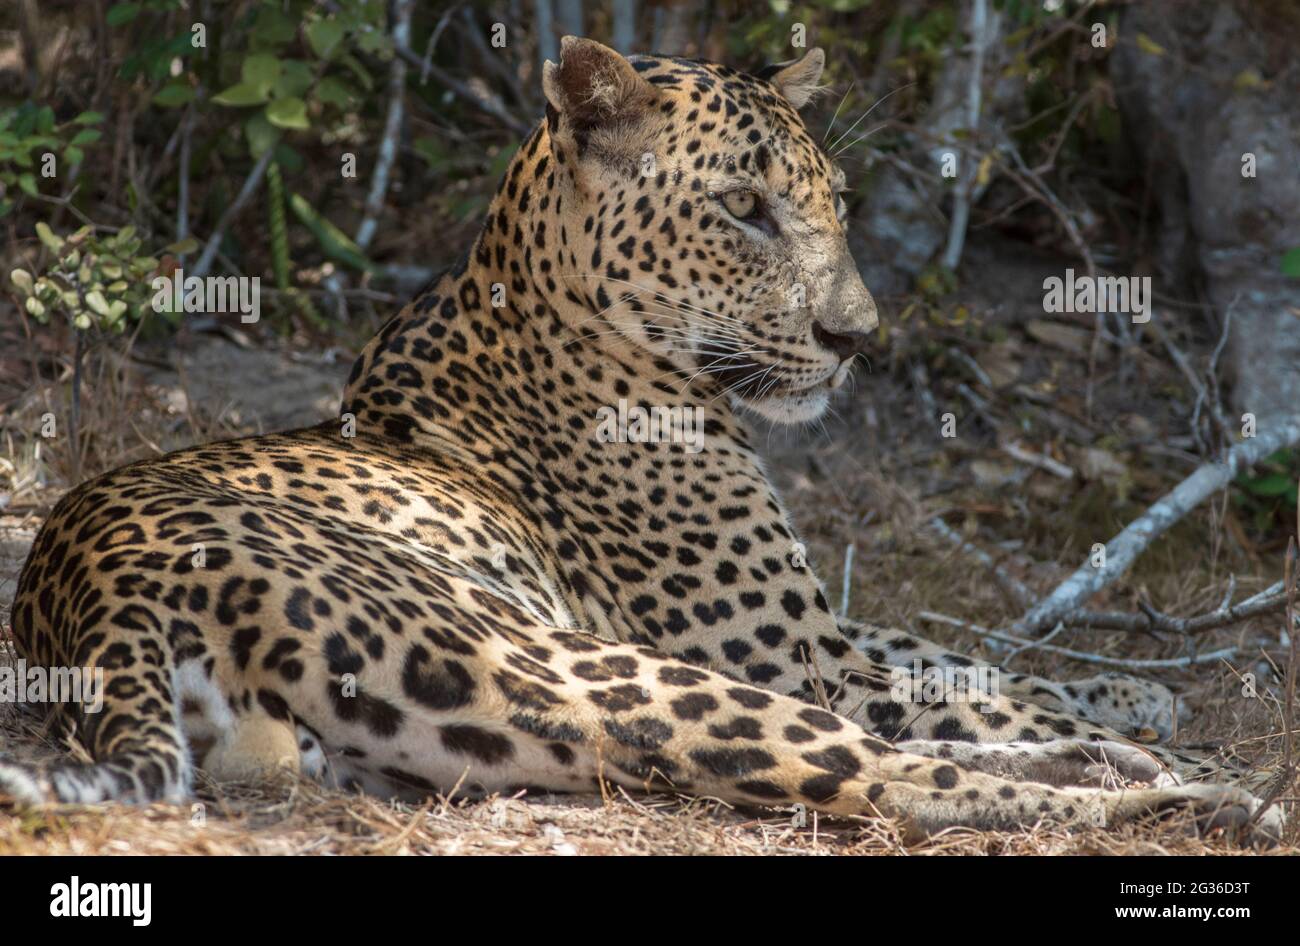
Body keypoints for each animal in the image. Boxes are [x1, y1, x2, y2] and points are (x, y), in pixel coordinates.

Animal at [0, 38, 1279, 842]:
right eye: (742, 209)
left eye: (836, 203)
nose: (855, 338)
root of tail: (81, 585)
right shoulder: (785, 651)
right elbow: (972, 692)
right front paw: (1135, 727)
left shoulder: (819, 626)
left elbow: (963, 656)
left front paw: (1129, 699)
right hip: (555, 657)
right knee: (888, 776)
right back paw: (1200, 800)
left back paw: (1134, 763)